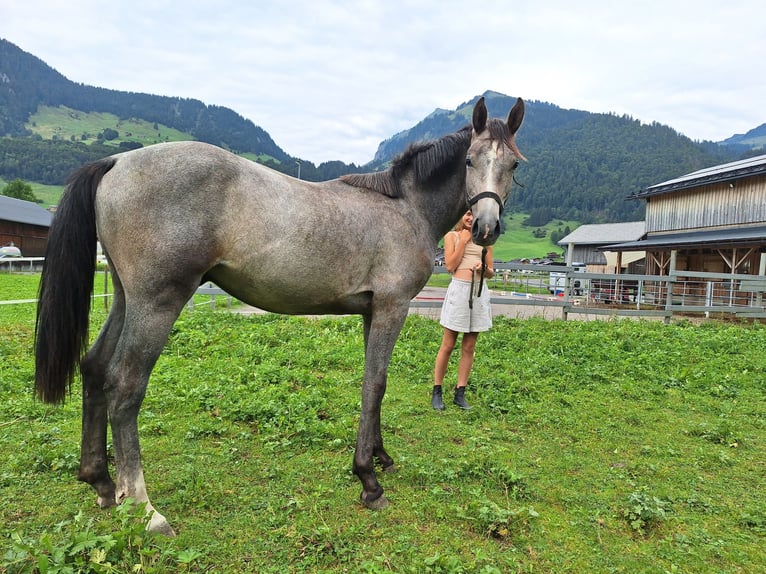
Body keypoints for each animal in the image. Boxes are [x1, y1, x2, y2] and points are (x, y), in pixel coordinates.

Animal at [37, 97, 528, 536]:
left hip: (126, 299)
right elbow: (375, 384)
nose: (486, 228)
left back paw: (102, 483)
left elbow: (376, 385)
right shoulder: (393, 307)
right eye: (469, 160)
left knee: (94, 369)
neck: (404, 207)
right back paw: (145, 508)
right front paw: (368, 480)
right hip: (157, 302)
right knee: (124, 386)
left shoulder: (373, 311)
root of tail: (117, 160)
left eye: (514, 165)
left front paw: (380, 457)